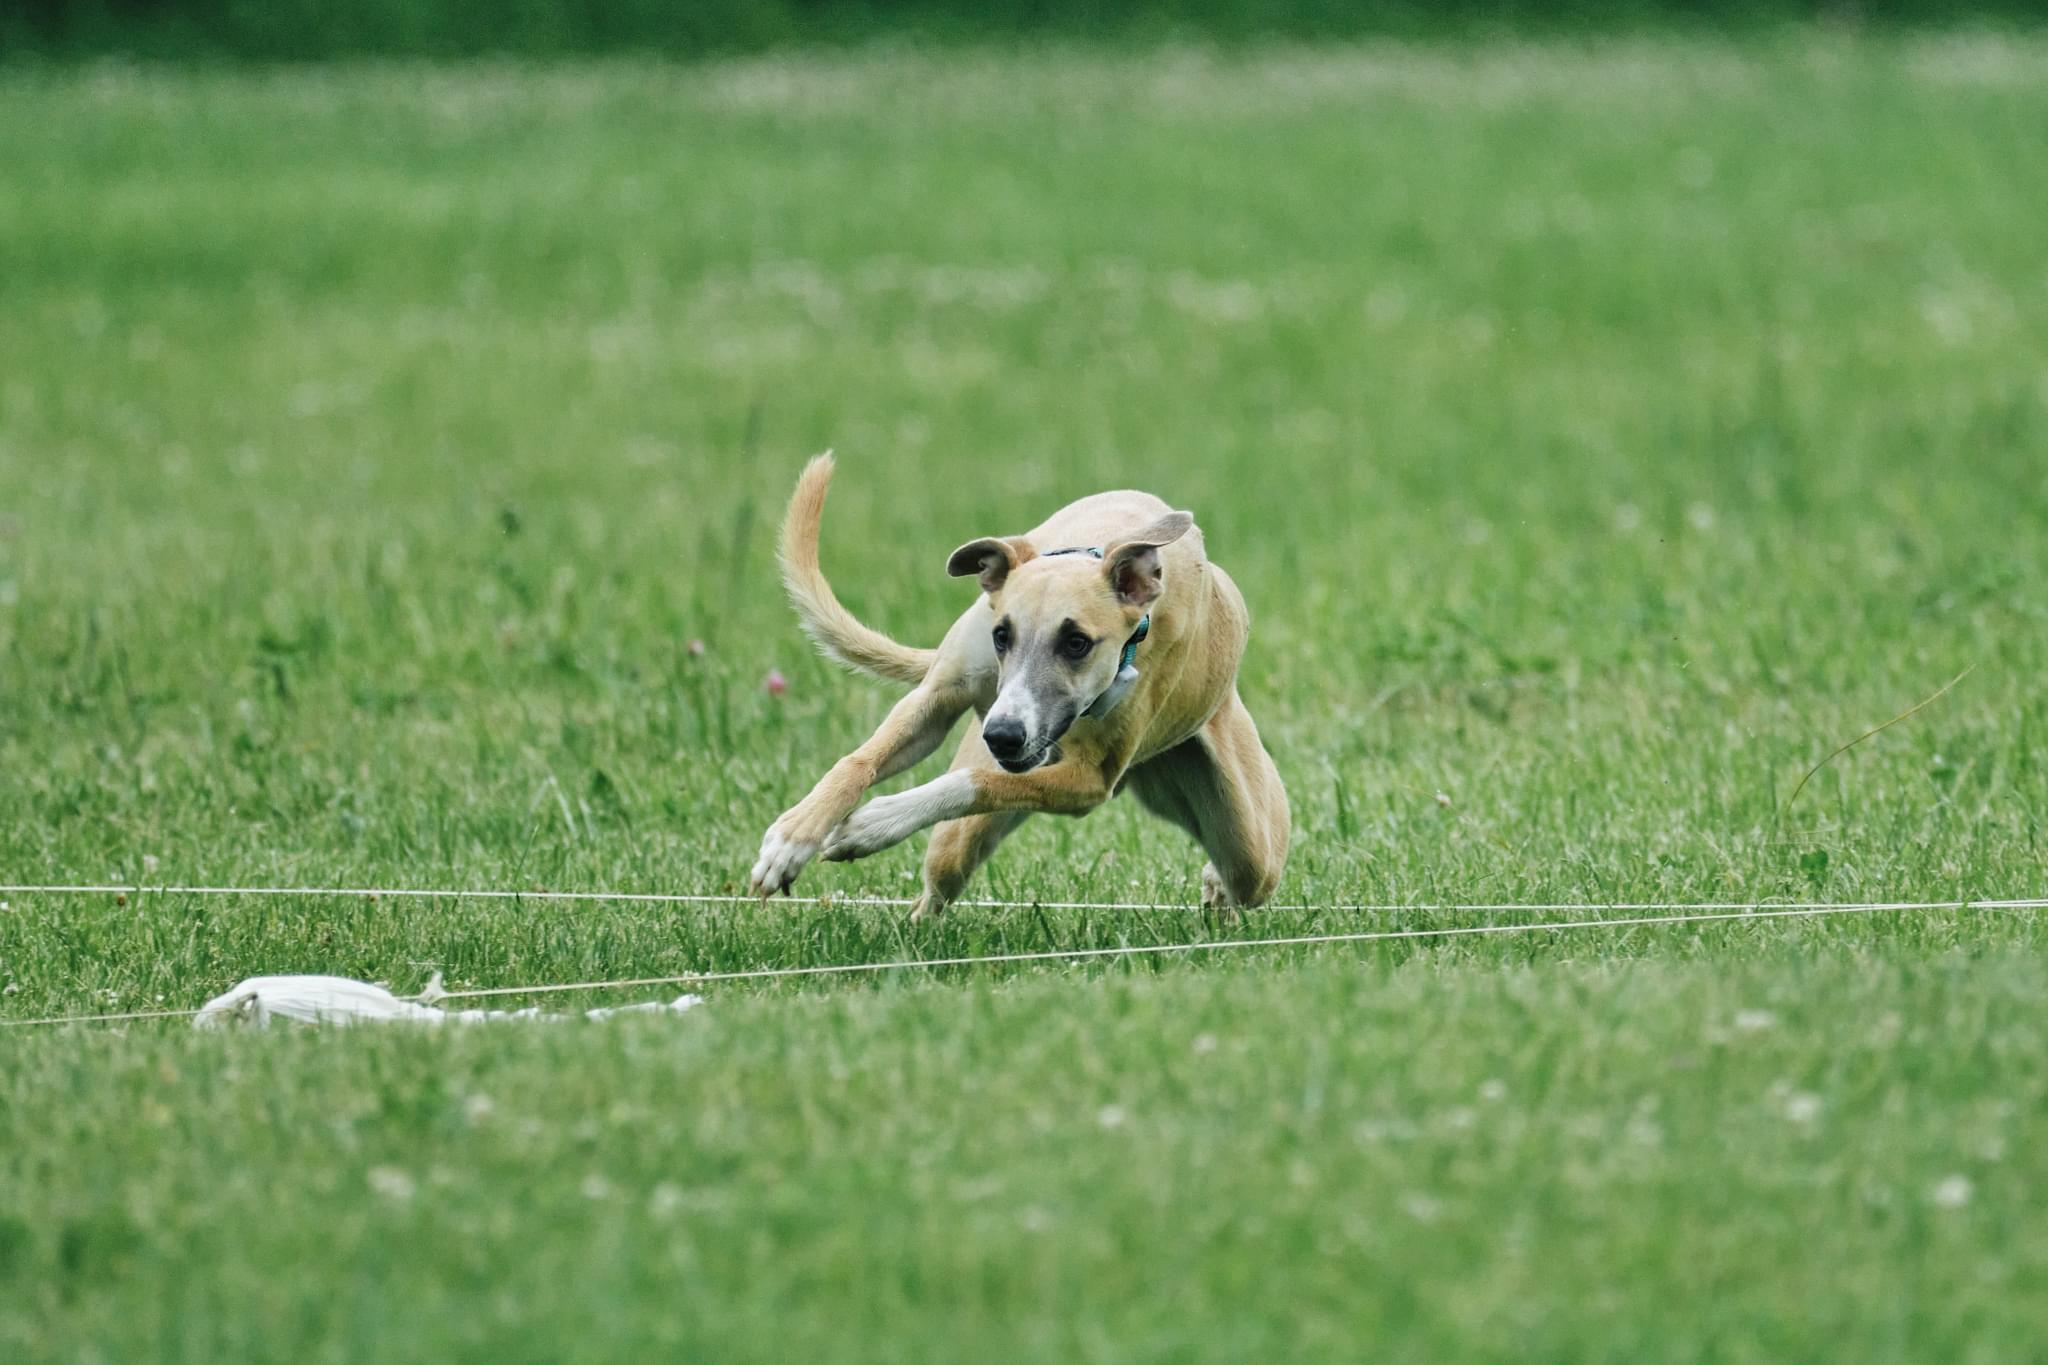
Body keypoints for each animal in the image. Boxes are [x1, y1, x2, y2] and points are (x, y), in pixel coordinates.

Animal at [753, 456, 1286, 916]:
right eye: (1001, 636)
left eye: (1077, 643)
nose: (1003, 736)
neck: (1090, 546)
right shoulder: (939, 697)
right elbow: (859, 760)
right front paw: (792, 838)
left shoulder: (1089, 781)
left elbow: (979, 782)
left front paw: (872, 822)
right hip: (961, 833)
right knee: (937, 886)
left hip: (1249, 846)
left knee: (1248, 874)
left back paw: (1217, 884)